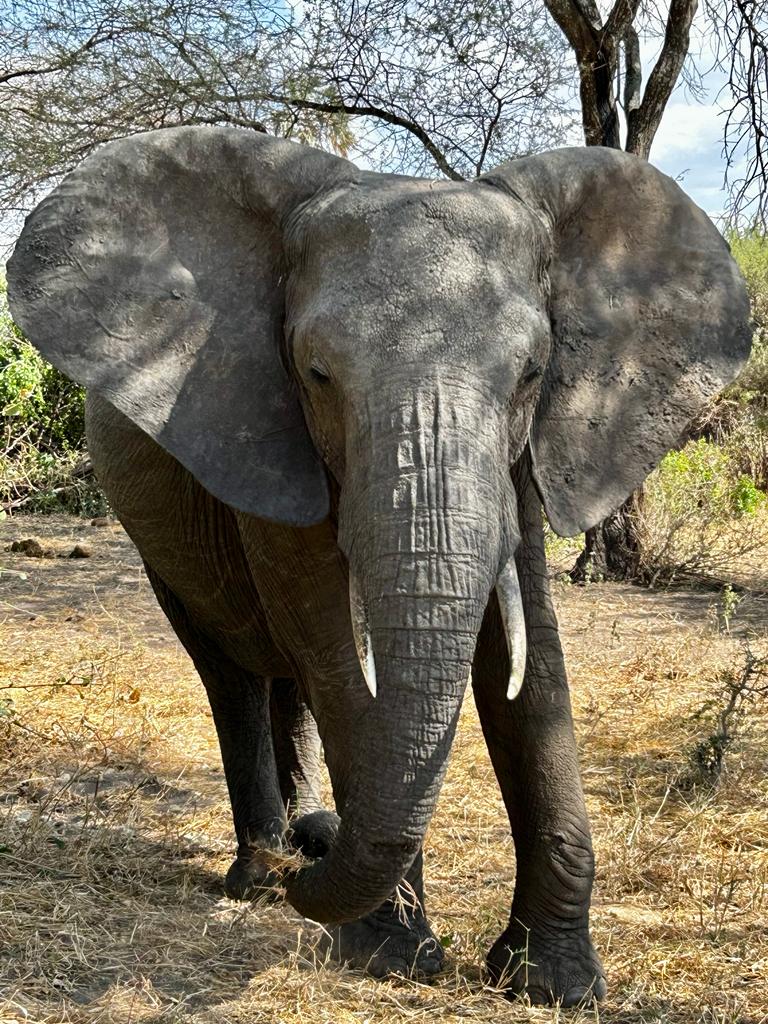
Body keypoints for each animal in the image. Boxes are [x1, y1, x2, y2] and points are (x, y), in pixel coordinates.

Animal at [7, 126, 751, 1005]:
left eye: (533, 373)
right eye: (317, 373)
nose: (313, 870)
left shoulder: (528, 451)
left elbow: (530, 648)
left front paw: (554, 983)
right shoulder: (261, 423)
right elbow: (328, 639)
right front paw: (391, 956)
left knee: (282, 680)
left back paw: (307, 833)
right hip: (154, 535)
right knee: (232, 671)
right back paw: (266, 871)